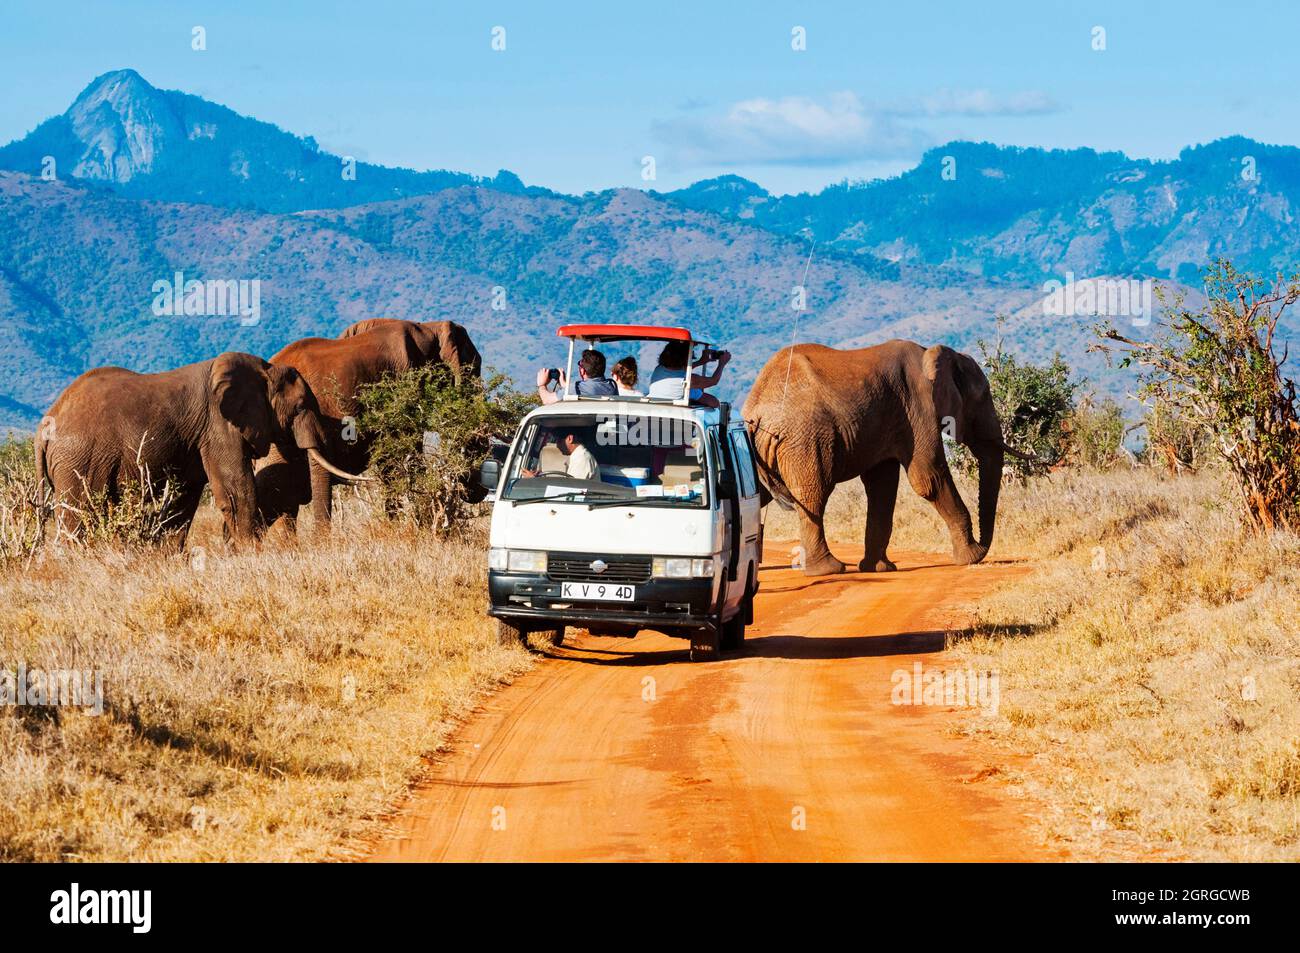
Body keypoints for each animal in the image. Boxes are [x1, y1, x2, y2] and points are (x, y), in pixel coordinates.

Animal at [35, 351, 366, 546]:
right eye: (300, 407)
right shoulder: (219, 425)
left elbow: (183, 498)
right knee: (80, 515)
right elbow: (236, 488)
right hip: (79, 461)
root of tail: (43, 429)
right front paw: (251, 554)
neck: (265, 371)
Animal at [748, 338, 1029, 577]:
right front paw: (971, 557)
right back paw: (828, 570)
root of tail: (755, 411)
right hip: (805, 440)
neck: (933, 354)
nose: (983, 546)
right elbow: (928, 478)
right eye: (983, 397)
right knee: (813, 494)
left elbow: (882, 486)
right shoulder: (919, 406)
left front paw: (878, 568)